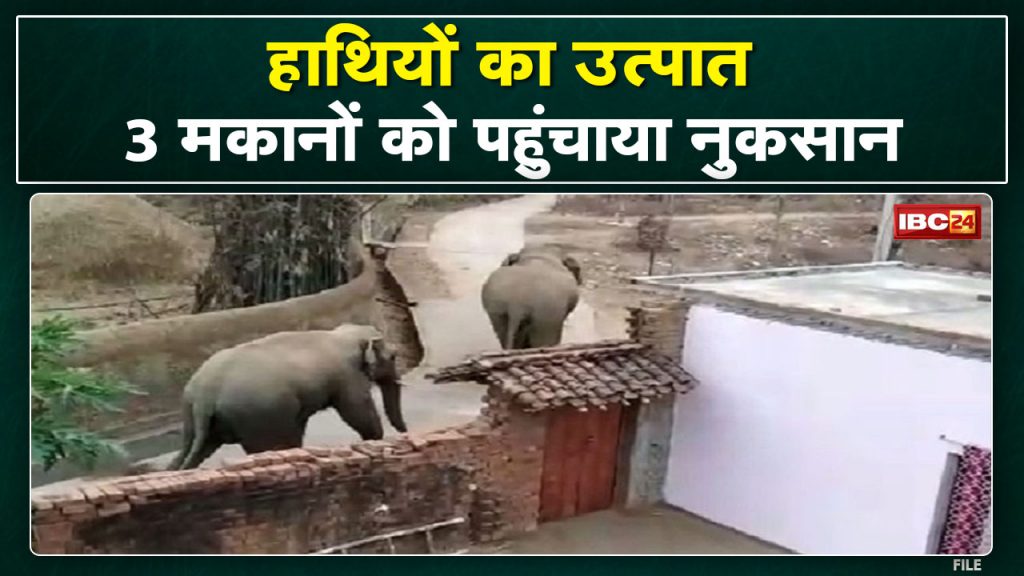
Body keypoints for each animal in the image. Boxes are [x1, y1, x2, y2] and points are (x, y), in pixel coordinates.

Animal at [167, 324, 407, 470]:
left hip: (194, 415)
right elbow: (356, 411)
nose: (405, 432)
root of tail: (205, 393)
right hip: (257, 415)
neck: (343, 333)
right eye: (394, 356)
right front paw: (375, 438)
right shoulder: (348, 376)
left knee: (191, 448)